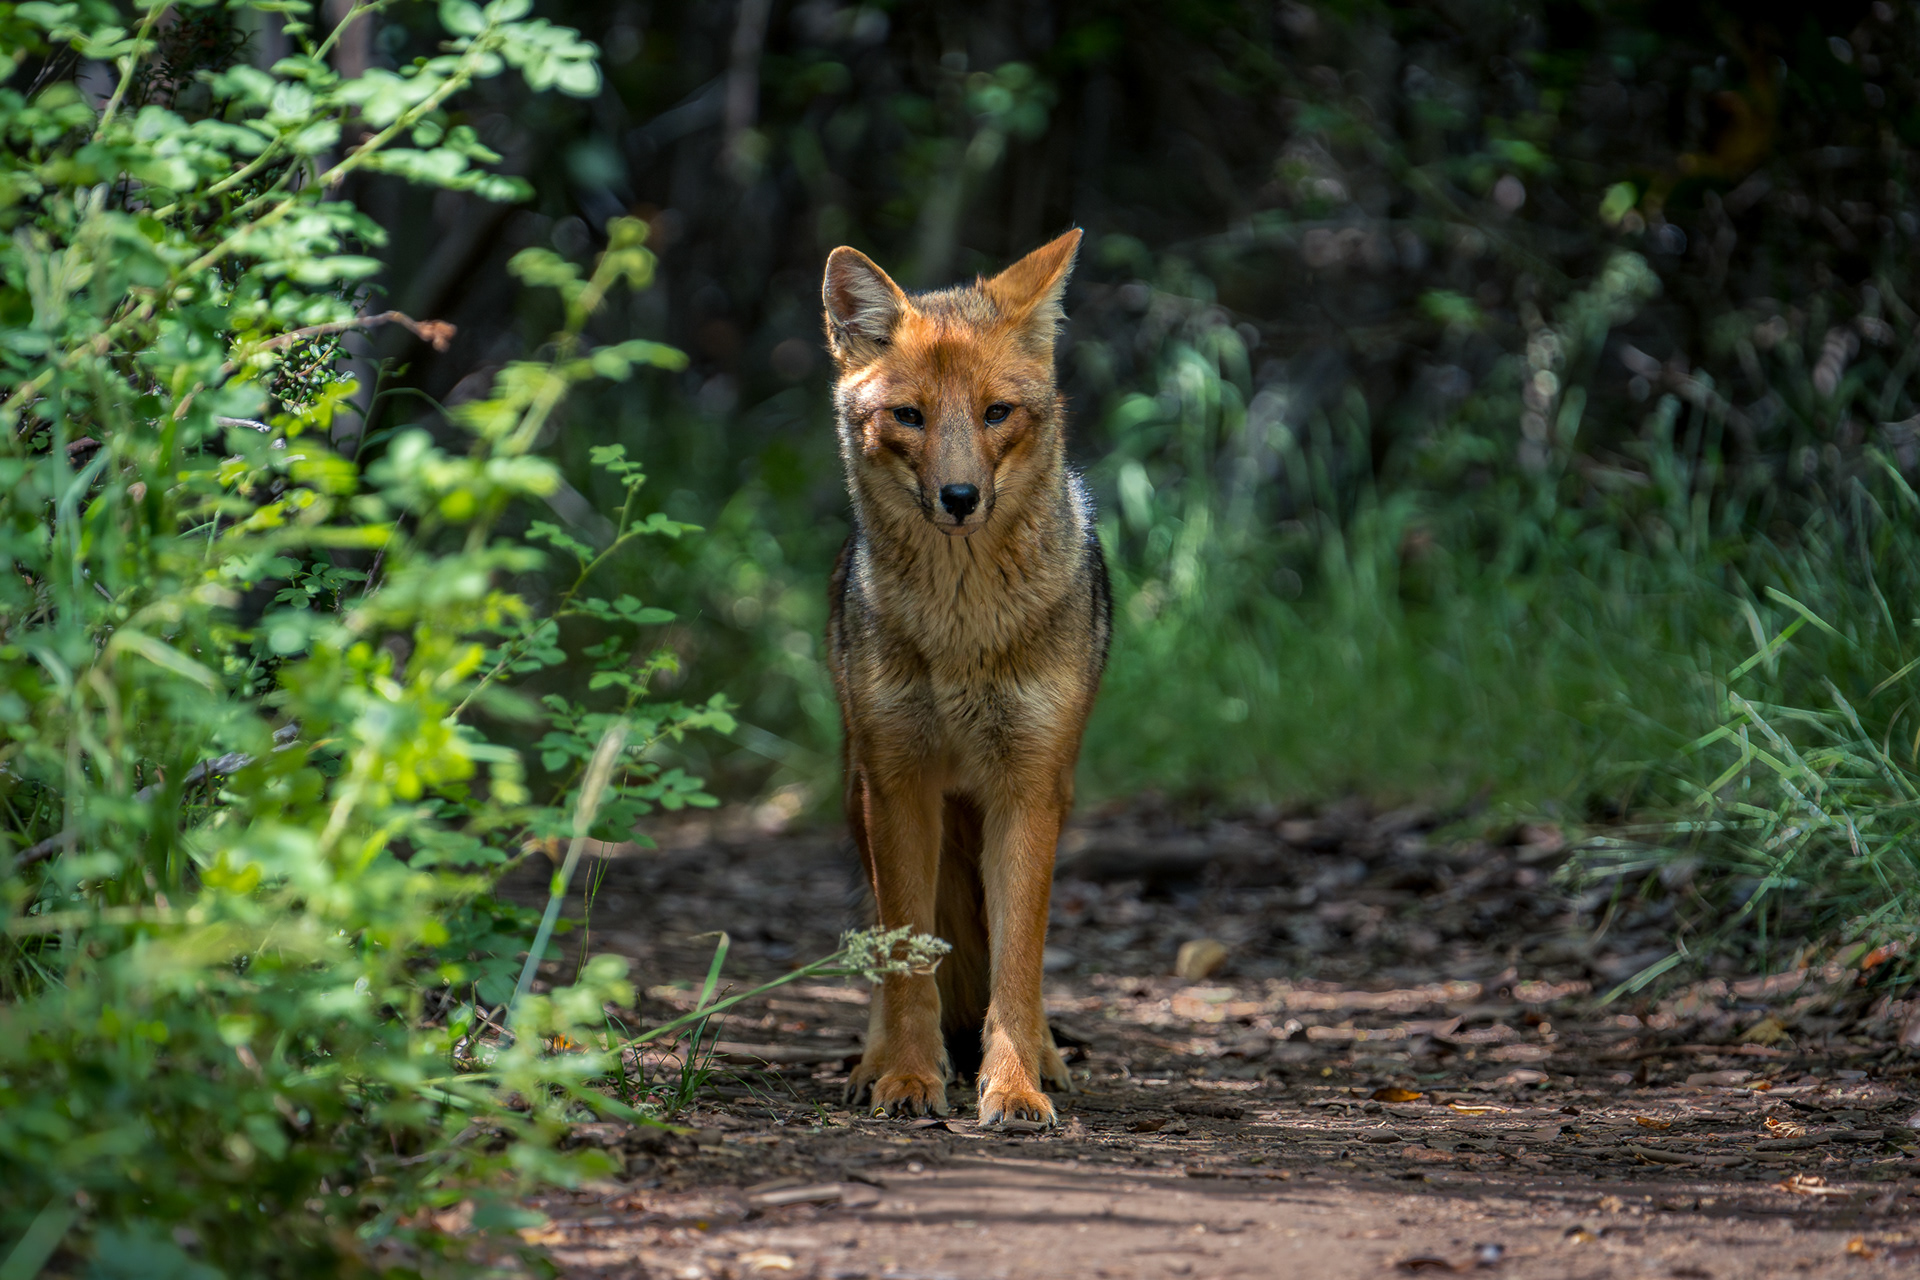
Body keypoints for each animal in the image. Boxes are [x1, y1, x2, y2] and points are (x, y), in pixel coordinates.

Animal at [821, 229, 1111, 1127]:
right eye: (909, 416)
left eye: (995, 413)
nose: (958, 496)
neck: (962, 635)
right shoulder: (899, 784)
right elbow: (911, 962)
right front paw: (911, 1077)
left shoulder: (1029, 788)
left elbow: (1016, 967)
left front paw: (1013, 1085)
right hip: (858, 795)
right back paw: (872, 1062)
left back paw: (1046, 1059)